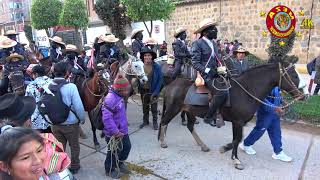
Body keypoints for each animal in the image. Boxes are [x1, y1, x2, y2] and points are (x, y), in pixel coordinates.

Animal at [159, 61, 306, 169]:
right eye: (294, 75)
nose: (303, 95)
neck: (247, 90)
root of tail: (171, 84)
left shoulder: (239, 123)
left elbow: (237, 139)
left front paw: (228, 152)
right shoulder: (238, 122)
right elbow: (237, 139)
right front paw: (234, 158)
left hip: (190, 111)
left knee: (189, 127)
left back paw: (203, 146)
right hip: (174, 109)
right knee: (164, 121)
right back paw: (162, 141)